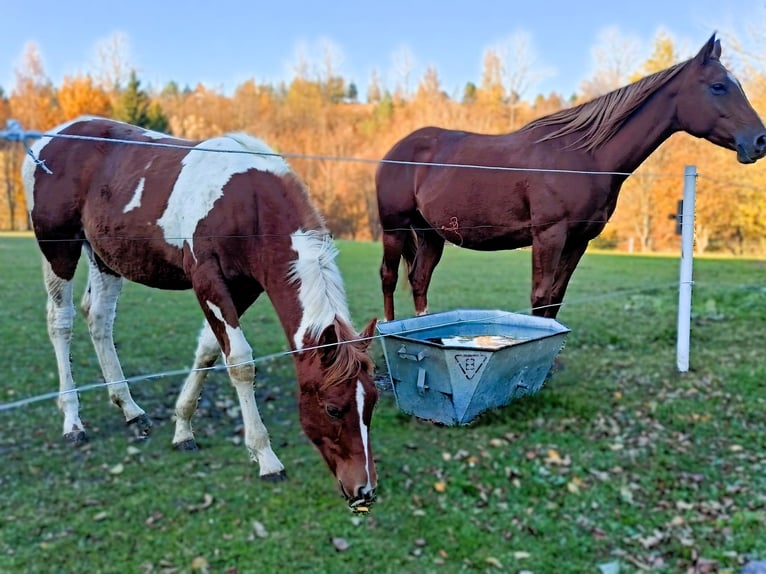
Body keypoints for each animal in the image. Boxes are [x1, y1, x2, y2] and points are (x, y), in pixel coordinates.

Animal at [22, 117, 382, 508]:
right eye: (333, 408)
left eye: (372, 402)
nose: (364, 491)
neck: (248, 203)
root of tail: (49, 139)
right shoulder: (207, 279)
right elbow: (239, 362)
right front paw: (266, 458)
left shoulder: (243, 288)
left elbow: (209, 350)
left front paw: (182, 428)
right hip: (59, 250)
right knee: (61, 323)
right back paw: (73, 420)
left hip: (105, 259)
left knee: (99, 318)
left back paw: (130, 408)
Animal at [378, 33, 766, 322]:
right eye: (718, 86)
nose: (759, 140)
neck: (584, 158)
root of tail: (399, 148)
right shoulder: (549, 235)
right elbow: (540, 297)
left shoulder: (579, 240)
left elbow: (555, 298)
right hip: (394, 228)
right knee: (389, 277)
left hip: (431, 234)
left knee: (419, 280)